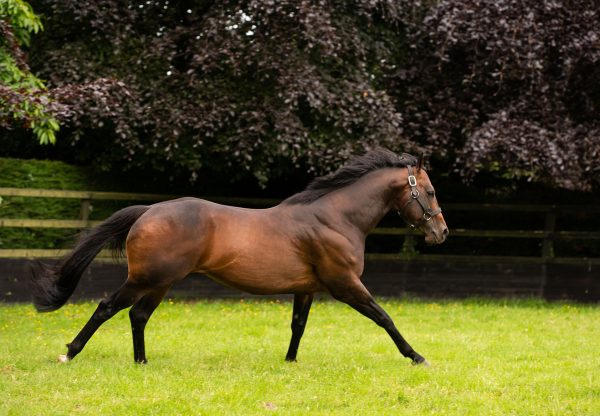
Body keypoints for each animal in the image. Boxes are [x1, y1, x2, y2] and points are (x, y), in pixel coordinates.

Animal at [30, 148, 448, 366]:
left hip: (160, 283)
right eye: (428, 192)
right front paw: (417, 356)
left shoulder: (307, 289)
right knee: (107, 307)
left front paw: (289, 362)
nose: (441, 233)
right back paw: (70, 353)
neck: (334, 217)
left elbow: (298, 326)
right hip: (145, 279)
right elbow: (384, 317)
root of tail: (148, 211)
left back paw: (141, 362)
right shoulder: (345, 285)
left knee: (138, 315)